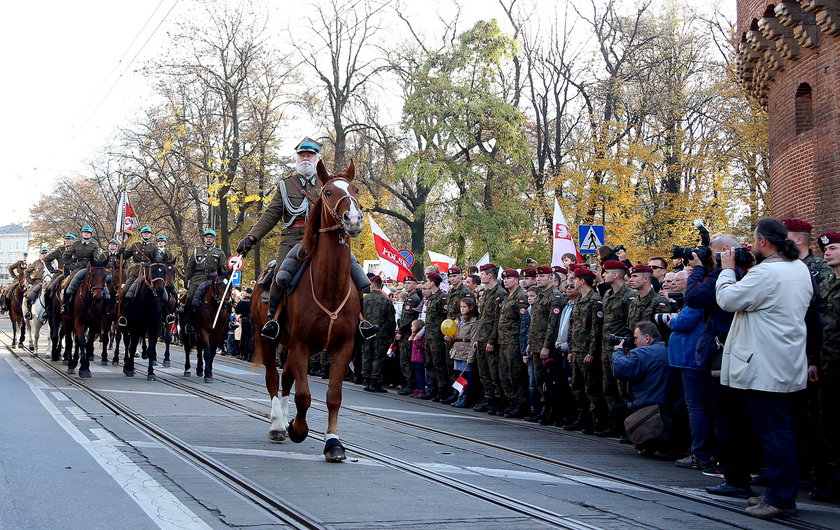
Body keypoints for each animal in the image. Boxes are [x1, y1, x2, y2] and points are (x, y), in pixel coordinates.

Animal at [253, 159, 364, 460]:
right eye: (328, 192)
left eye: (355, 189)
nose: (353, 219)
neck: (330, 288)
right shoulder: (301, 345)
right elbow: (304, 395)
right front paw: (297, 429)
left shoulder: (343, 347)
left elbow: (333, 397)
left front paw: (333, 443)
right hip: (268, 338)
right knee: (272, 378)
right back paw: (277, 424)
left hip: (290, 345)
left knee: (287, 378)